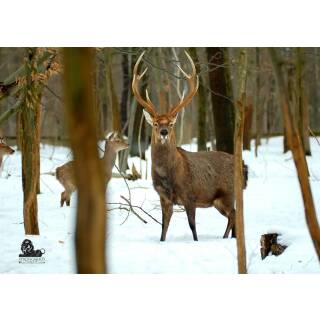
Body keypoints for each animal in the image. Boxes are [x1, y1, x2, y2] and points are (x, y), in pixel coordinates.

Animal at [131, 50, 249, 240]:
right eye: (155, 123)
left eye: (171, 123)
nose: (164, 132)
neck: (169, 175)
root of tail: (243, 167)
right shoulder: (164, 198)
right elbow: (163, 228)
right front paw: (162, 241)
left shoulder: (190, 195)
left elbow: (192, 226)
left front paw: (196, 241)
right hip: (218, 200)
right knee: (234, 216)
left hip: (228, 193)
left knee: (234, 214)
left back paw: (225, 237)